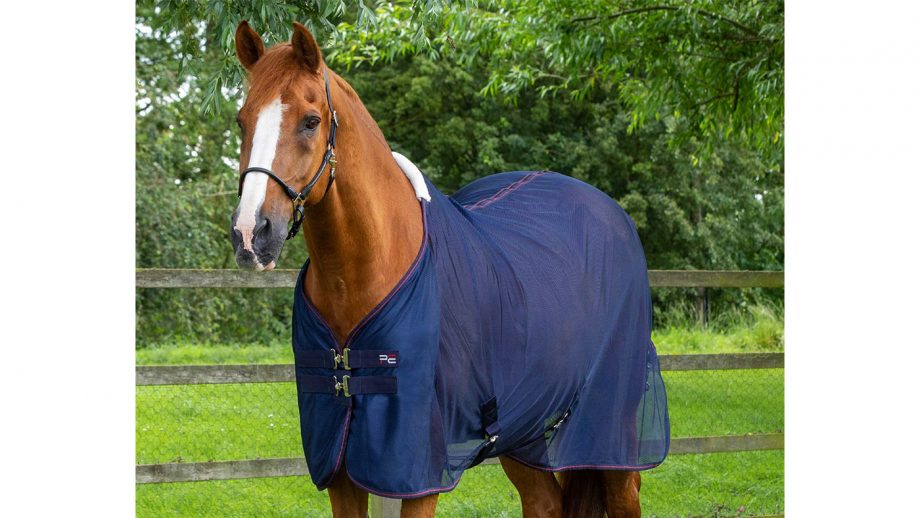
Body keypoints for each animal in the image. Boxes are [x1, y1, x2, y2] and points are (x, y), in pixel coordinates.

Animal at [228, 21, 669, 518]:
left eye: (310, 120)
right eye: (242, 120)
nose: (251, 233)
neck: (367, 272)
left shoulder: (418, 471)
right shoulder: (345, 465)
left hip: (608, 437)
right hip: (525, 430)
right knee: (544, 502)